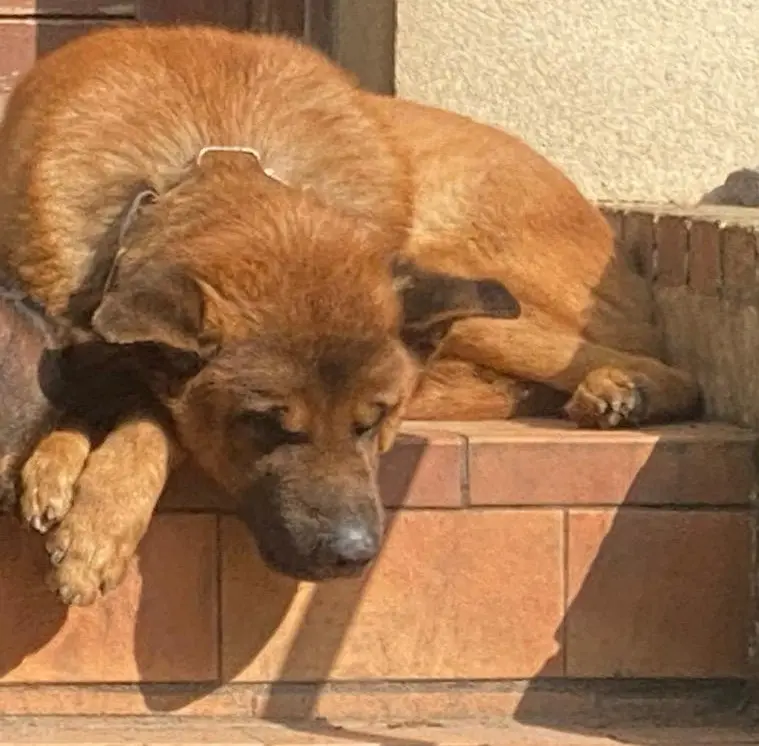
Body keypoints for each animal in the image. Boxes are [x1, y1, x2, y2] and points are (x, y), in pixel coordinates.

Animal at [0, 24, 696, 604]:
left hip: (451, 272)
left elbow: (154, 421)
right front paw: (58, 465)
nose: (351, 556)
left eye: (375, 421)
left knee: (671, 373)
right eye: (266, 425)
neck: (206, 161)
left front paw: (96, 527)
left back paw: (626, 388)